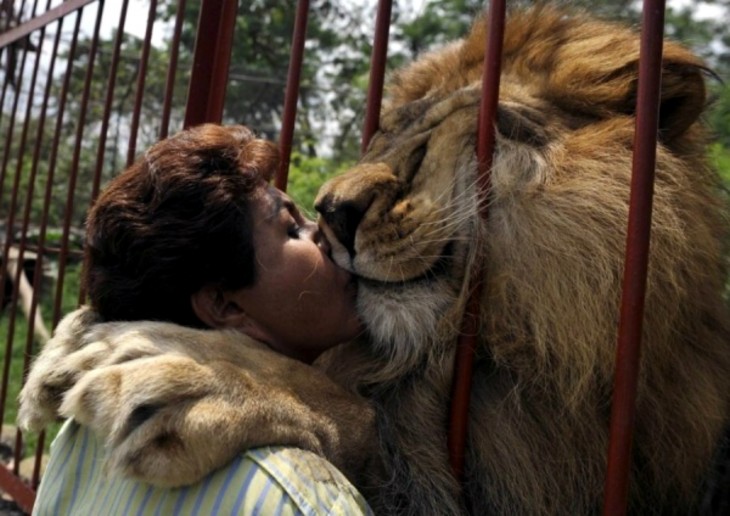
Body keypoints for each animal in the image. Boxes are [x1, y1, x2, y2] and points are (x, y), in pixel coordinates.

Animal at [17, 5, 728, 516]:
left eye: (468, 132)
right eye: (388, 133)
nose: (332, 213)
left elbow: (355, 410)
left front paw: (199, 377)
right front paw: (69, 345)